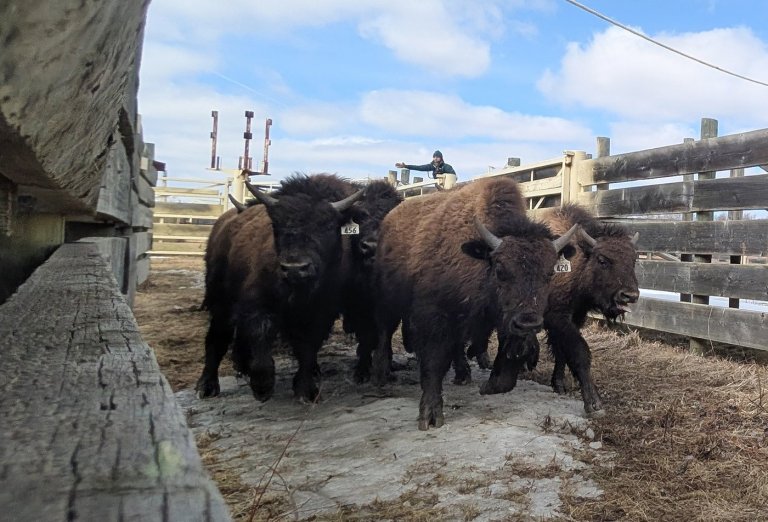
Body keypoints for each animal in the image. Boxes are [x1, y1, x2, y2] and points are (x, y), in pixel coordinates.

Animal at [195, 173, 364, 402]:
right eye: (277, 225)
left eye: (328, 226)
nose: (295, 268)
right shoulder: (258, 306)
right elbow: (261, 342)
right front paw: (262, 387)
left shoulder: (319, 314)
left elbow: (307, 349)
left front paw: (306, 390)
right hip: (220, 299)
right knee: (216, 338)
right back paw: (207, 386)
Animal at [371, 177, 577, 430]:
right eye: (500, 270)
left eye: (550, 273)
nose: (528, 323)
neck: (480, 261)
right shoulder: (434, 316)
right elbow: (434, 361)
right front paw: (430, 415)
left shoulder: (500, 320)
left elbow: (506, 365)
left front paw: (489, 385)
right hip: (387, 299)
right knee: (384, 331)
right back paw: (381, 375)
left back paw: (463, 374)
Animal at [473, 203, 639, 415]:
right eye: (603, 260)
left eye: (633, 261)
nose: (630, 295)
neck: (578, 260)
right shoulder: (557, 319)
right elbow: (578, 352)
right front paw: (594, 403)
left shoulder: (574, 318)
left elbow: (561, 353)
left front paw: (559, 384)